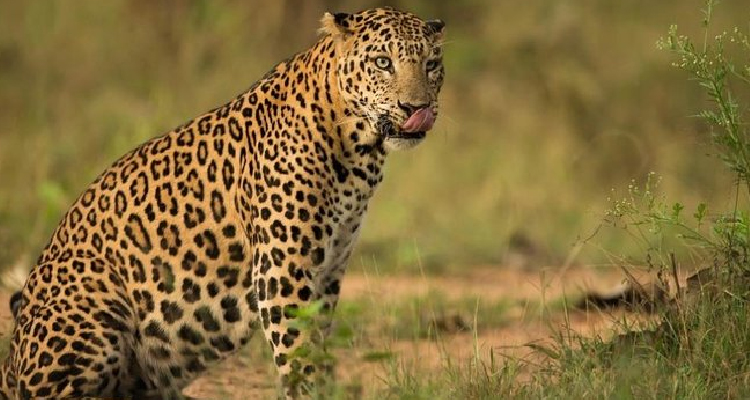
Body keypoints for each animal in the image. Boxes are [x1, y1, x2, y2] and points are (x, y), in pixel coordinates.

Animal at [0, 7, 445, 399]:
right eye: (383, 63)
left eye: (431, 65)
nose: (416, 108)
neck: (359, 149)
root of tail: (11, 359)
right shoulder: (283, 271)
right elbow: (298, 354)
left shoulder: (330, 270)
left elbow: (317, 346)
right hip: (94, 295)